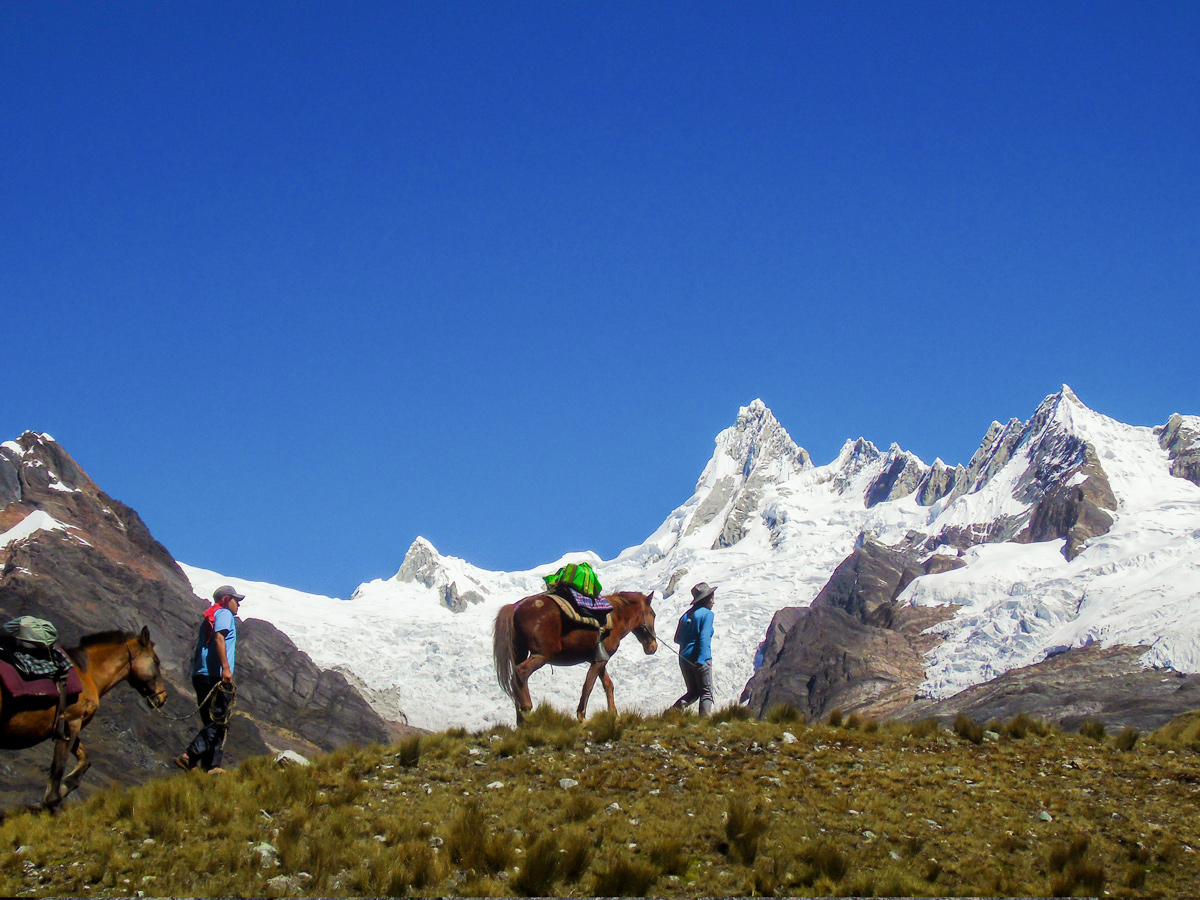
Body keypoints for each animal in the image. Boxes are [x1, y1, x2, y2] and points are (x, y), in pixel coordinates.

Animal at [0, 628, 166, 811]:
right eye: (156, 661)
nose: (163, 697)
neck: (88, 674)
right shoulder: (71, 723)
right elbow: (58, 768)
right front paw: (50, 801)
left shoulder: (70, 728)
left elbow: (84, 760)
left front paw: (66, 786)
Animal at [489, 592, 657, 724]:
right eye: (653, 615)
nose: (653, 647)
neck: (615, 618)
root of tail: (515, 607)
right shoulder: (600, 660)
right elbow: (588, 685)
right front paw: (582, 717)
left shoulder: (599, 659)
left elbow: (608, 685)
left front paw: (614, 715)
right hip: (541, 655)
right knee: (521, 672)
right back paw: (527, 708)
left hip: (520, 653)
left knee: (515, 679)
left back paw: (521, 719)